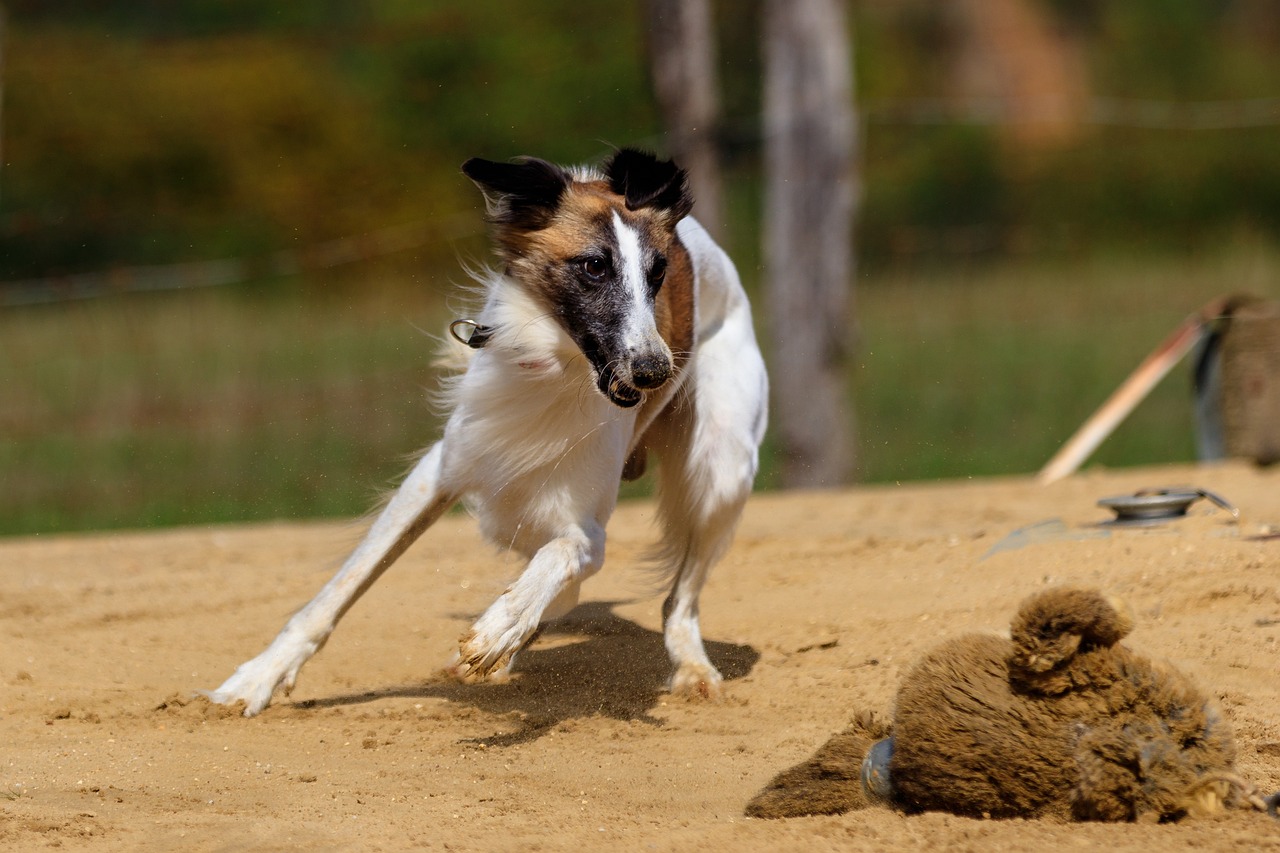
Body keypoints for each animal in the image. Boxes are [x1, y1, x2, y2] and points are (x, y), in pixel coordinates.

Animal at [208, 149, 762, 712]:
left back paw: (691, 667)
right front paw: (257, 678)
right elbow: (340, 589)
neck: (556, 368)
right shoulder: (441, 471)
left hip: (724, 469)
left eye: (658, 271)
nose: (655, 371)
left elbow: (558, 556)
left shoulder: (587, 528)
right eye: (593, 266)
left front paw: (500, 629)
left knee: (679, 600)